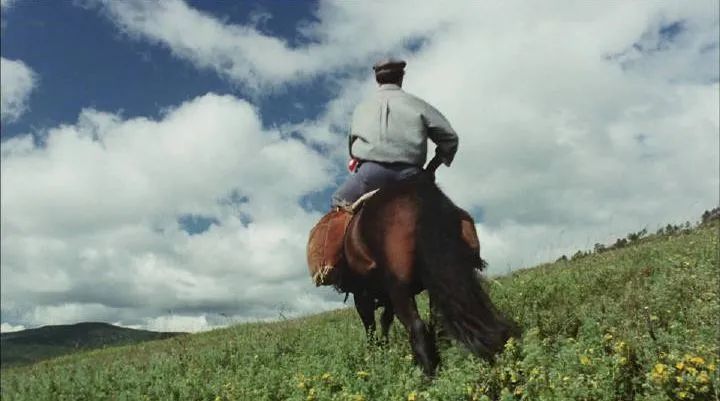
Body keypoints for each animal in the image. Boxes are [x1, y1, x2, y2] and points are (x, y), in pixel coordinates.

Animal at [332, 171, 520, 376]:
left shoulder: (363, 295)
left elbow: (371, 326)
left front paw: (377, 354)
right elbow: (385, 320)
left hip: (399, 288)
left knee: (417, 326)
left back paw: (428, 375)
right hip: (438, 285)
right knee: (437, 322)